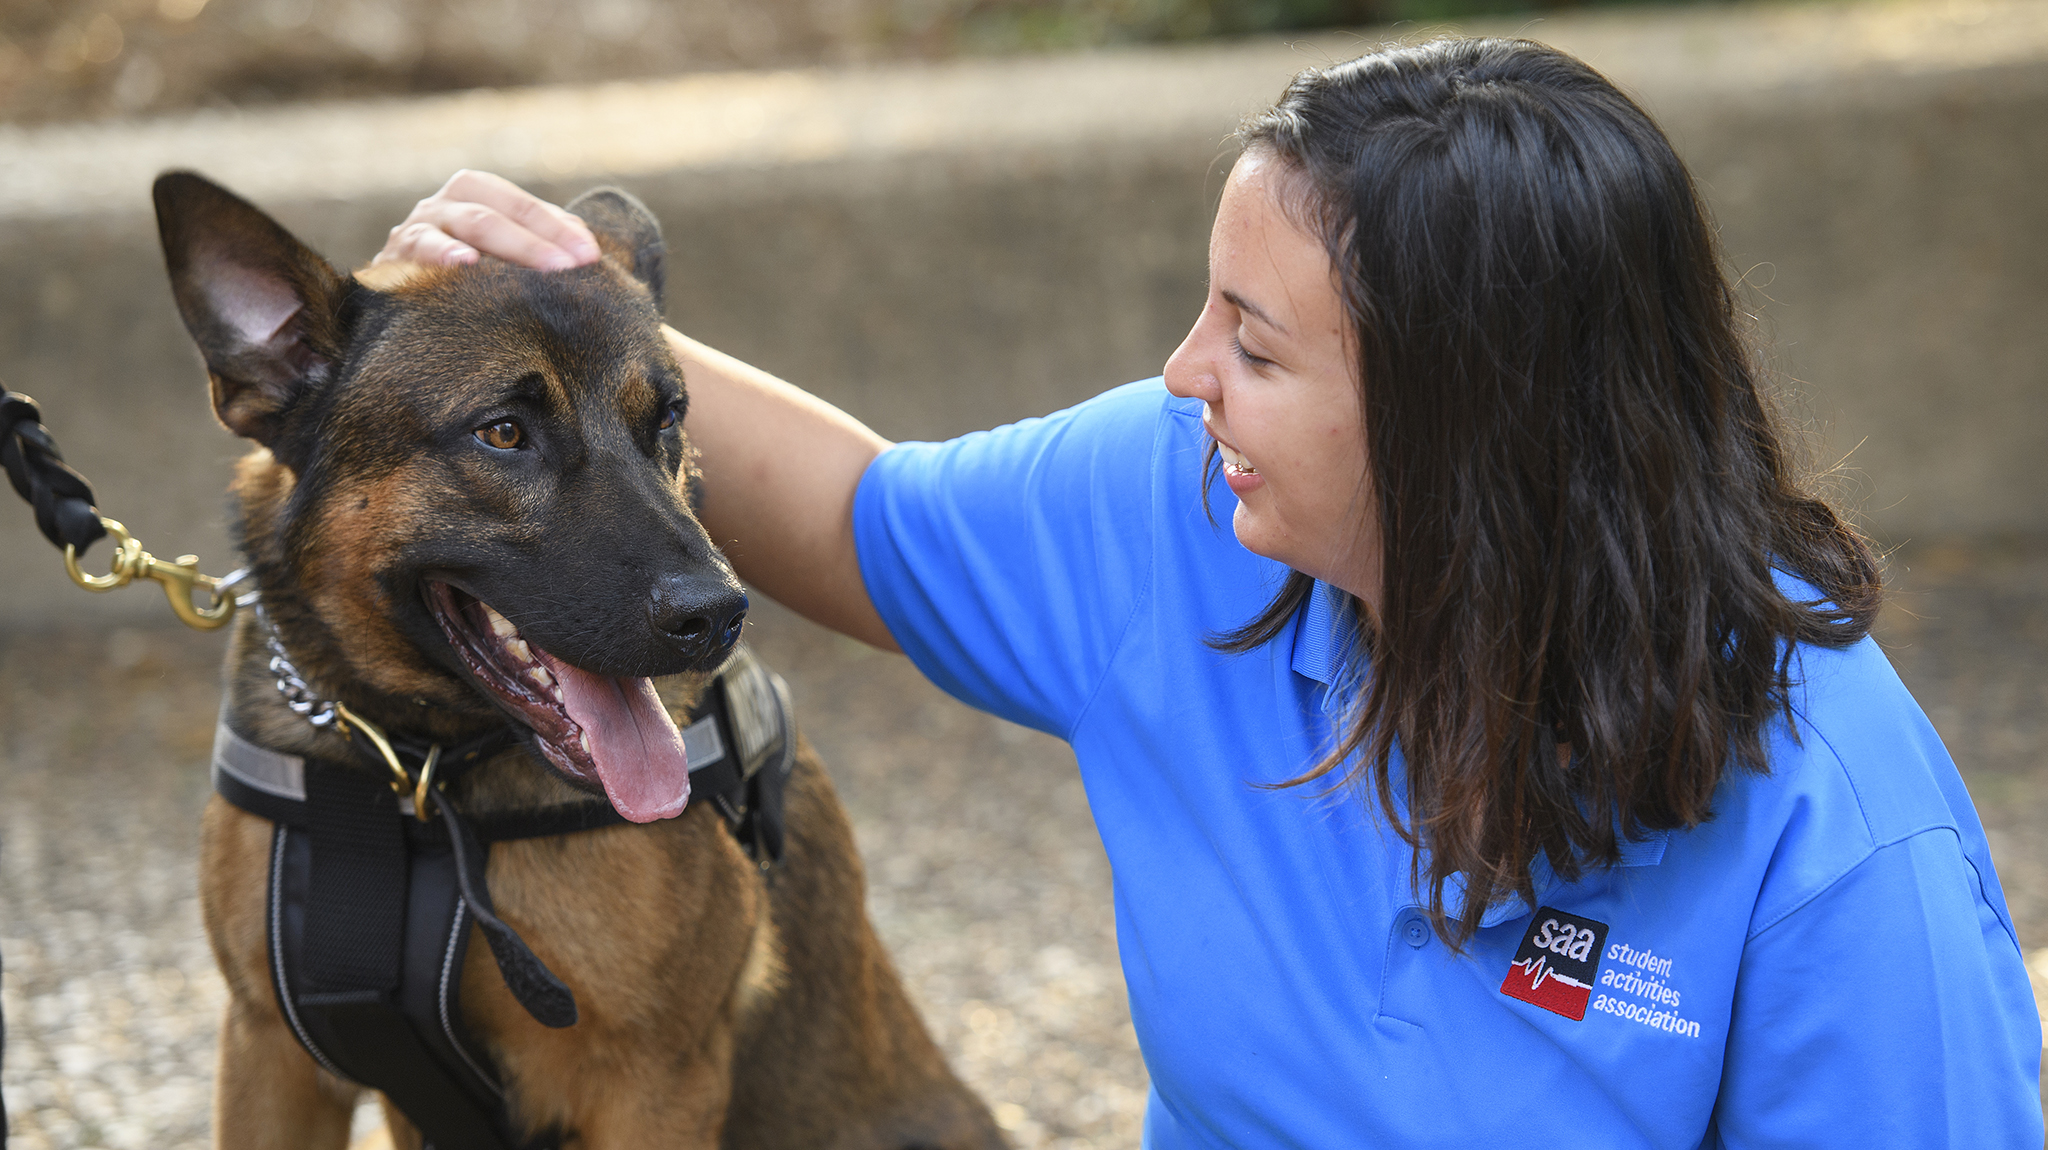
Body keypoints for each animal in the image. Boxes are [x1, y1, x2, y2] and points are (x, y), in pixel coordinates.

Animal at [151, 171, 1007, 1145]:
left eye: (667, 418)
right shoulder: (268, 1053)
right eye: (503, 433)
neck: (429, 782)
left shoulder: (655, 1082)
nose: (719, 614)